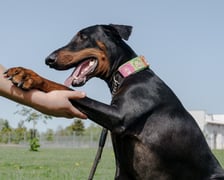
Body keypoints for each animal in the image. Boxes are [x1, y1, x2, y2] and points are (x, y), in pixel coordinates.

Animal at [4, 24, 224, 180]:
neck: (126, 75)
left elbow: (64, 87)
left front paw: (28, 75)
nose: (48, 59)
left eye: (83, 36)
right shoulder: (123, 169)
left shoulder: (119, 117)